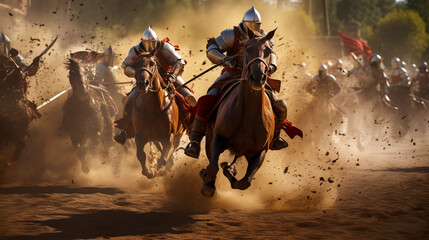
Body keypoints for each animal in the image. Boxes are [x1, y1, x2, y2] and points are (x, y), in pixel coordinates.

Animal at [200, 28, 278, 197]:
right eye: (247, 48)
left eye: (269, 51)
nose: (257, 78)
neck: (248, 116)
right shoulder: (217, 137)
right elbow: (212, 167)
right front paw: (207, 179)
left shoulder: (260, 152)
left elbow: (245, 182)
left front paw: (229, 171)